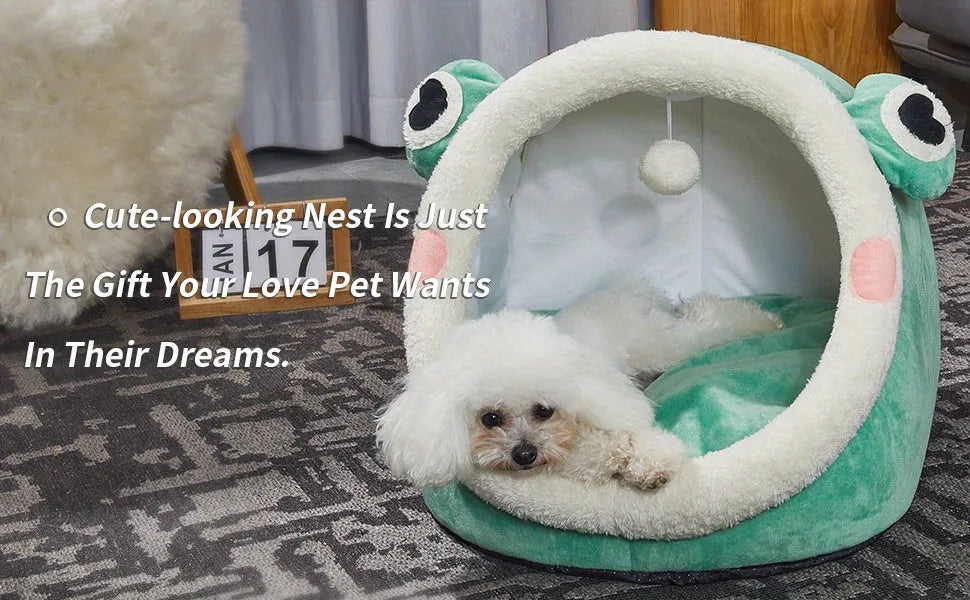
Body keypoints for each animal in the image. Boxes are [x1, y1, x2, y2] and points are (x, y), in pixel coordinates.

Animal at [374, 286, 784, 492]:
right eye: (490, 418)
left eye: (544, 409)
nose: (524, 453)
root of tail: (626, 295)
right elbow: (586, 457)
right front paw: (609, 455)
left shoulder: (618, 402)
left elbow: (645, 437)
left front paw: (649, 464)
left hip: (661, 346)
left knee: (707, 325)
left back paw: (763, 322)